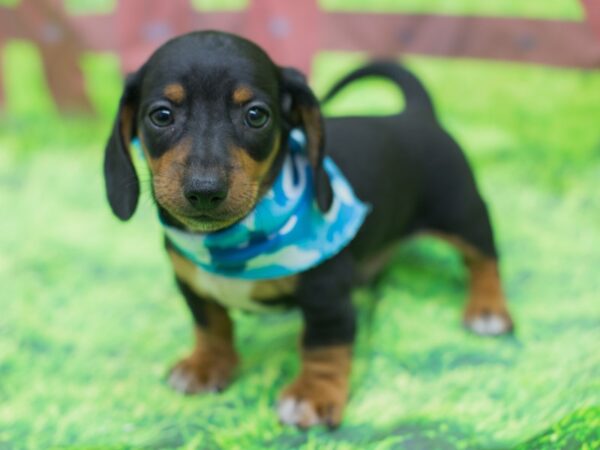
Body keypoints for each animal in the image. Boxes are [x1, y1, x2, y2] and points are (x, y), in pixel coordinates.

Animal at [102, 30, 510, 428]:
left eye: (256, 115)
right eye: (161, 115)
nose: (204, 190)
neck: (227, 241)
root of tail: (416, 113)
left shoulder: (326, 299)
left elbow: (323, 346)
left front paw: (312, 395)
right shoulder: (192, 285)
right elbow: (211, 324)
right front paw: (207, 365)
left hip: (462, 213)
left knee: (484, 258)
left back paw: (488, 309)